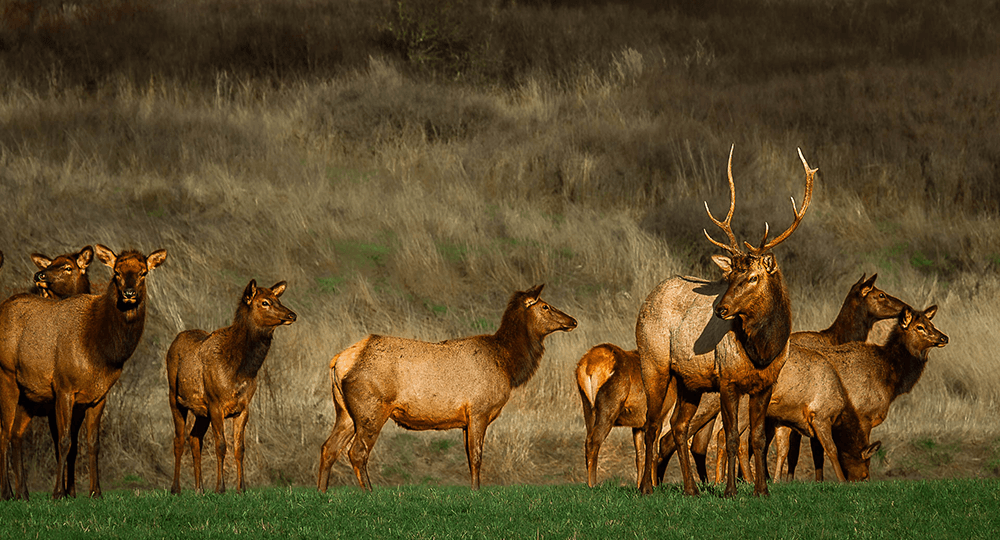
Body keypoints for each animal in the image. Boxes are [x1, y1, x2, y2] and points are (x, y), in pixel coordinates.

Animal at [0, 245, 166, 500]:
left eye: (143, 273)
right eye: (116, 272)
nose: (128, 293)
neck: (101, 351)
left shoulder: (99, 395)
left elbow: (92, 442)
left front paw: (95, 491)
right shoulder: (63, 387)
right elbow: (64, 441)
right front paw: (58, 493)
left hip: (30, 394)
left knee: (16, 432)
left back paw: (24, 494)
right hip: (6, 376)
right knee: (4, 433)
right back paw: (7, 493)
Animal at [166, 279, 297, 494]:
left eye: (278, 299)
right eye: (265, 302)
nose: (292, 315)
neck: (240, 370)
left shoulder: (243, 407)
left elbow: (239, 448)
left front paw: (241, 488)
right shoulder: (215, 404)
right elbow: (221, 445)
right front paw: (220, 488)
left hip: (201, 411)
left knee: (194, 438)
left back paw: (199, 489)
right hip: (174, 397)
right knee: (179, 439)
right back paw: (175, 488)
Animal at [317, 284, 577, 491]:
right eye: (545, 306)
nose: (572, 320)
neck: (508, 365)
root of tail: (339, 361)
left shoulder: (465, 419)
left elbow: (469, 456)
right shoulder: (479, 410)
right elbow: (477, 456)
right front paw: (476, 491)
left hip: (345, 411)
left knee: (328, 447)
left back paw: (322, 492)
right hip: (372, 407)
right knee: (356, 452)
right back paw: (370, 492)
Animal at [636, 146, 816, 497]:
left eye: (753, 277)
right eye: (729, 276)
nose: (720, 308)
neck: (762, 350)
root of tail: (649, 297)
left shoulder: (766, 385)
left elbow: (757, 439)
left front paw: (762, 490)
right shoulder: (727, 381)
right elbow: (732, 438)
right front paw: (731, 490)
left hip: (689, 381)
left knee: (677, 427)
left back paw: (691, 488)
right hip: (654, 362)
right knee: (651, 425)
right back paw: (647, 487)